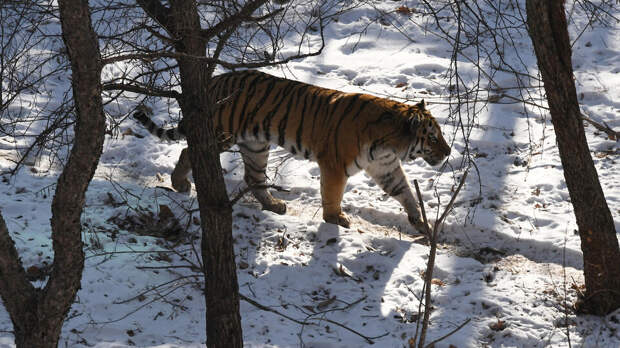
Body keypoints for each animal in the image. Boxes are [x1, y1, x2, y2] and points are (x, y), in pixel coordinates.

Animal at [132, 69, 450, 232]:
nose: (448, 152)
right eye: (433, 138)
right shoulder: (334, 165)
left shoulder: (385, 166)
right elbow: (332, 194)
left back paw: (274, 204)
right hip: (222, 134)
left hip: (256, 146)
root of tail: (214, 80)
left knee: (253, 178)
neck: (391, 144)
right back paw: (180, 183)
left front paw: (419, 221)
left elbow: (405, 191)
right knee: (188, 151)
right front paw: (335, 219)